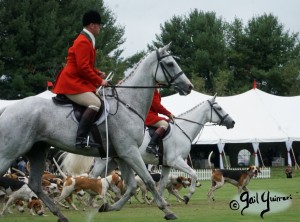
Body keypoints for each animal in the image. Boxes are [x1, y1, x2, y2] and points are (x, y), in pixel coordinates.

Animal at [0, 43, 192, 222]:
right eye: (170, 63)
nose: (189, 86)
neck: (128, 104)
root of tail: (7, 108)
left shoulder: (121, 155)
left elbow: (130, 187)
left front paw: (108, 207)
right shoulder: (130, 151)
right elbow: (149, 181)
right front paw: (167, 211)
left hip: (38, 151)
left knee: (35, 184)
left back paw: (60, 214)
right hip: (10, 152)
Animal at [63, 94, 236, 204]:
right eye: (219, 108)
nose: (232, 122)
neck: (182, 130)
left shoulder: (166, 164)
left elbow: (162, 184)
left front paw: (159, 200)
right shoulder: (176, 161)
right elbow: (193, 174)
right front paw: (187, 196)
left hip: (111, 163)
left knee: (93, 177)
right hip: (104, 162)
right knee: (92, 178)